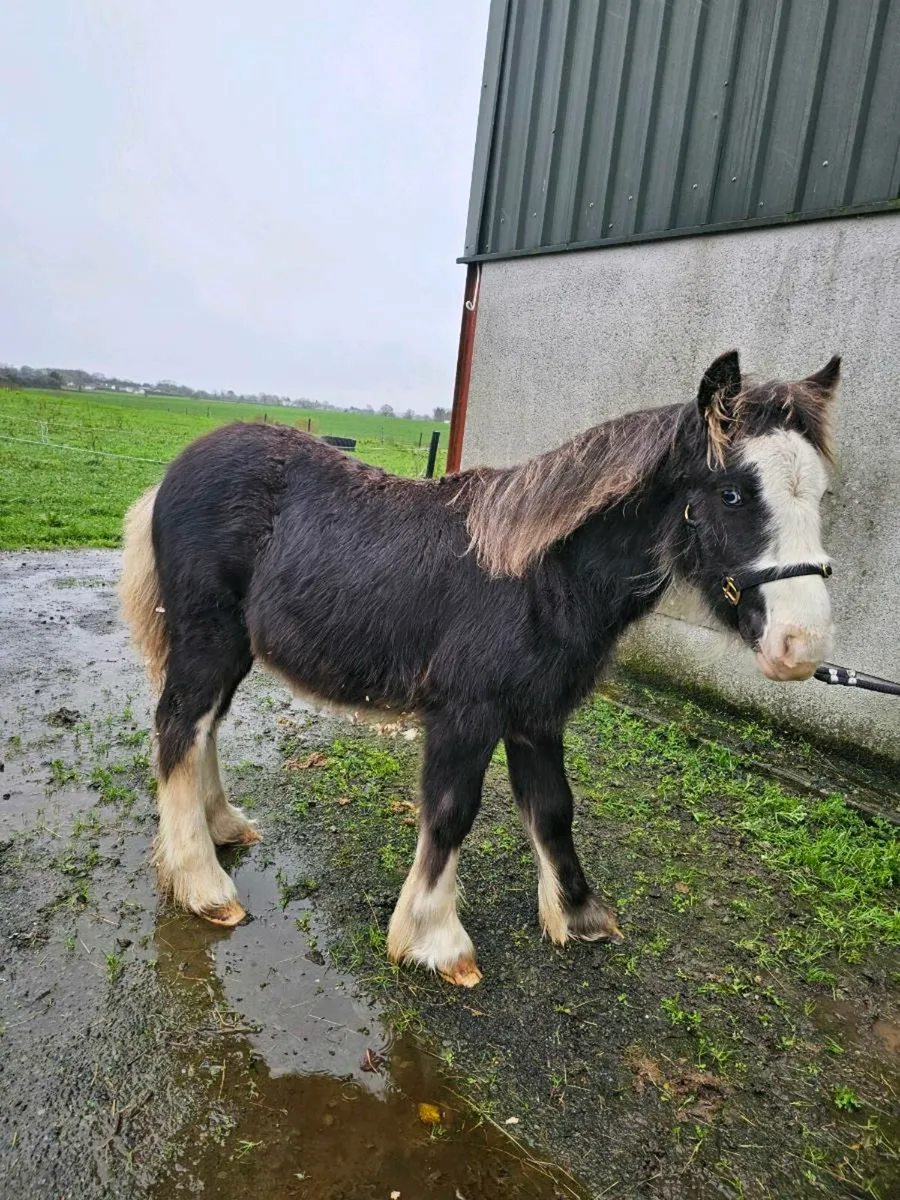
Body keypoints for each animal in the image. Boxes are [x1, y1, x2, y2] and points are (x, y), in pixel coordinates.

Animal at [120, 349, 840, 987]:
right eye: (732, 492)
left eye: (820, 493)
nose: (800, 645)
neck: (539, 577)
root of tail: (172, 474)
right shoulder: (466, 715)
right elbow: (449, 812)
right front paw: (435, 942)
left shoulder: (536, 716)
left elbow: (553, 809)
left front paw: (579, 916)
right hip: (207, 639)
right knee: (180, 728)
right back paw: (203, 884)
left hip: (232, 649)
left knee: (203, 728)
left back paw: (222, 828)